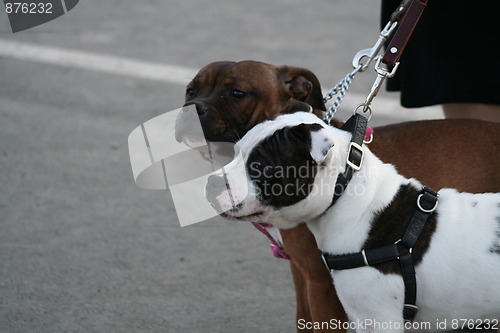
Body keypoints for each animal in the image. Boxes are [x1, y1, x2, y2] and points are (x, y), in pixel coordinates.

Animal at [182, 60, 500, 332]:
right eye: (190, 90)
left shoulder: (348, 303)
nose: (211, 184)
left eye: (259, 165)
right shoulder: (303, 277)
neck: (361, 204)